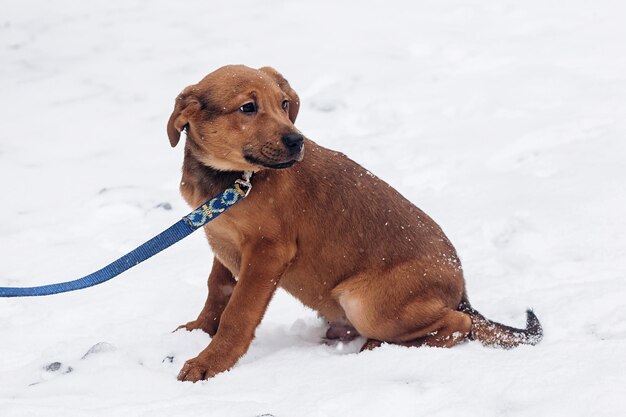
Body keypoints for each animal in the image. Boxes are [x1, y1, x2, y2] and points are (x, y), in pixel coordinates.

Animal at [167, 65, 540, 380]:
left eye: (284, 103)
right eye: (247, 107)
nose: (297, 141)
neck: (235, 179)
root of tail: (461, 294)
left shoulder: (267, 252)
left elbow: (239, 312)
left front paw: (210, 363)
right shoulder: (223, 240)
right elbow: (218, 289)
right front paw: (200, 330)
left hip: (364, 304)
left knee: (459, 324)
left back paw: (380, 346)